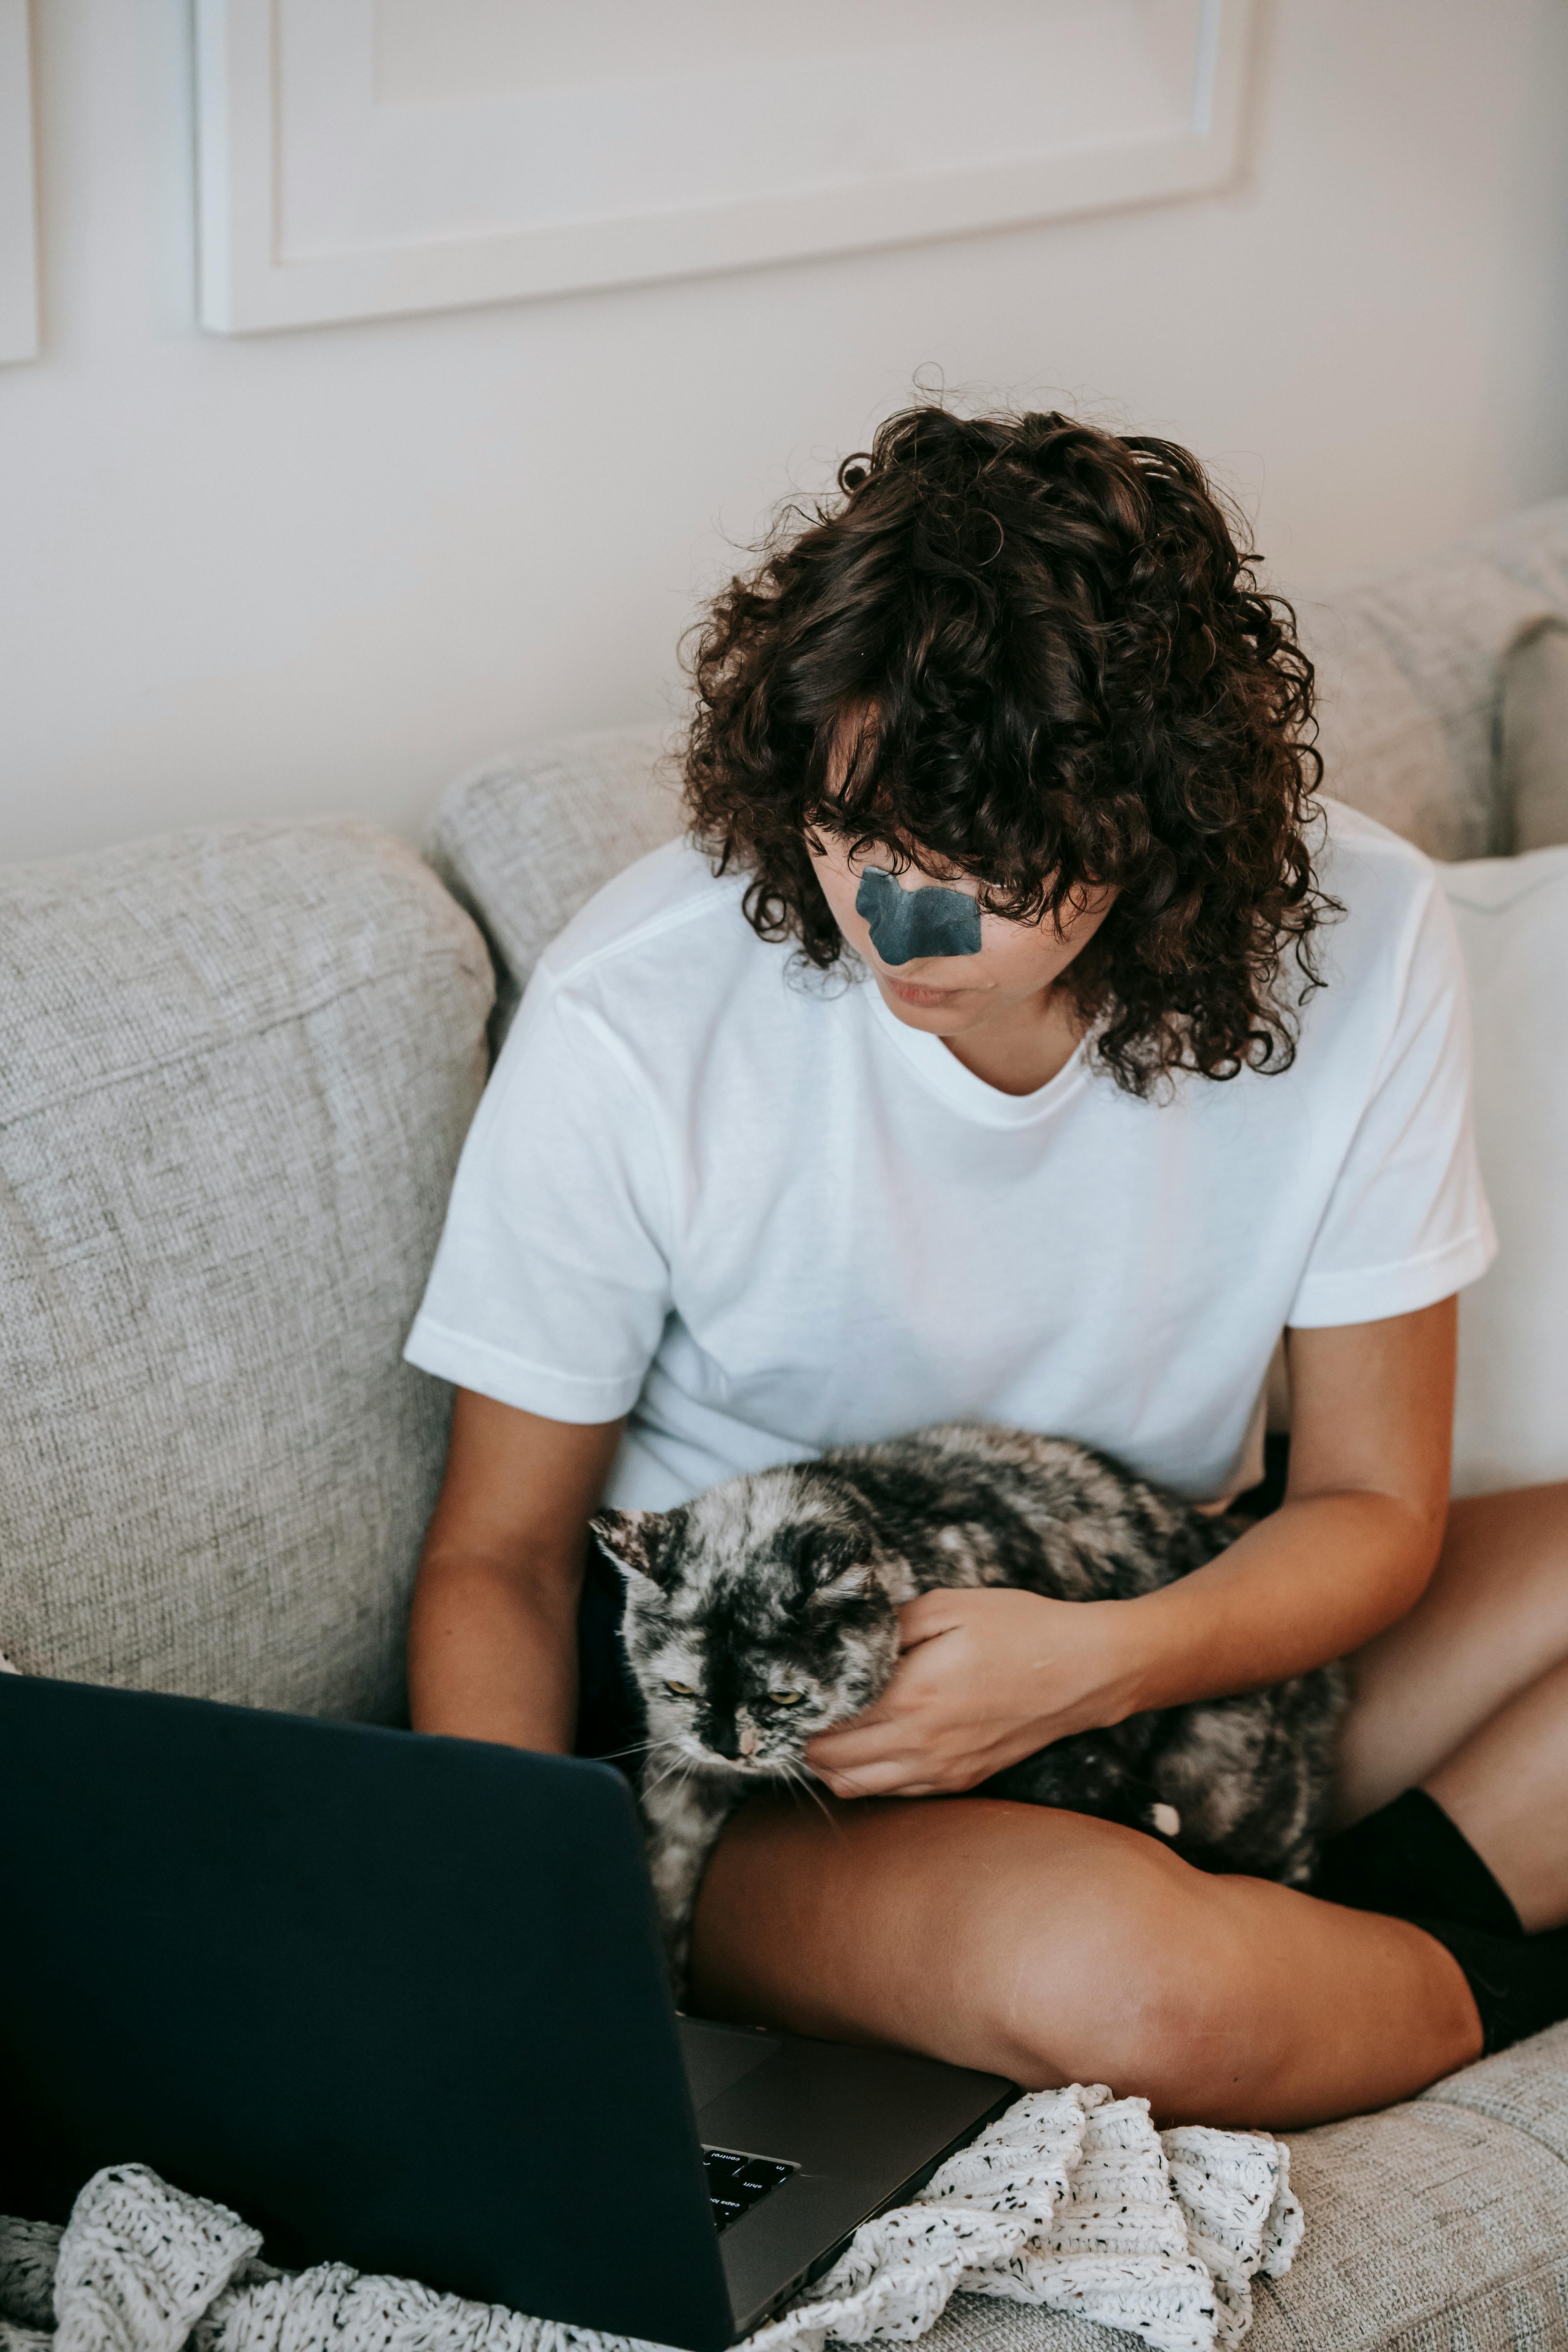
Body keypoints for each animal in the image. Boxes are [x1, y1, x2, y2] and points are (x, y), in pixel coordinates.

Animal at [592, 1411, 1354, 1985]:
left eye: (783, 1695)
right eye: (680, 1686)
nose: (729, 1747)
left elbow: (1070, 1770)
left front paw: (1141, 1811)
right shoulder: (677, 1769)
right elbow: (664, 1872)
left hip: (1227, 1785)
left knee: (1293, 1849)